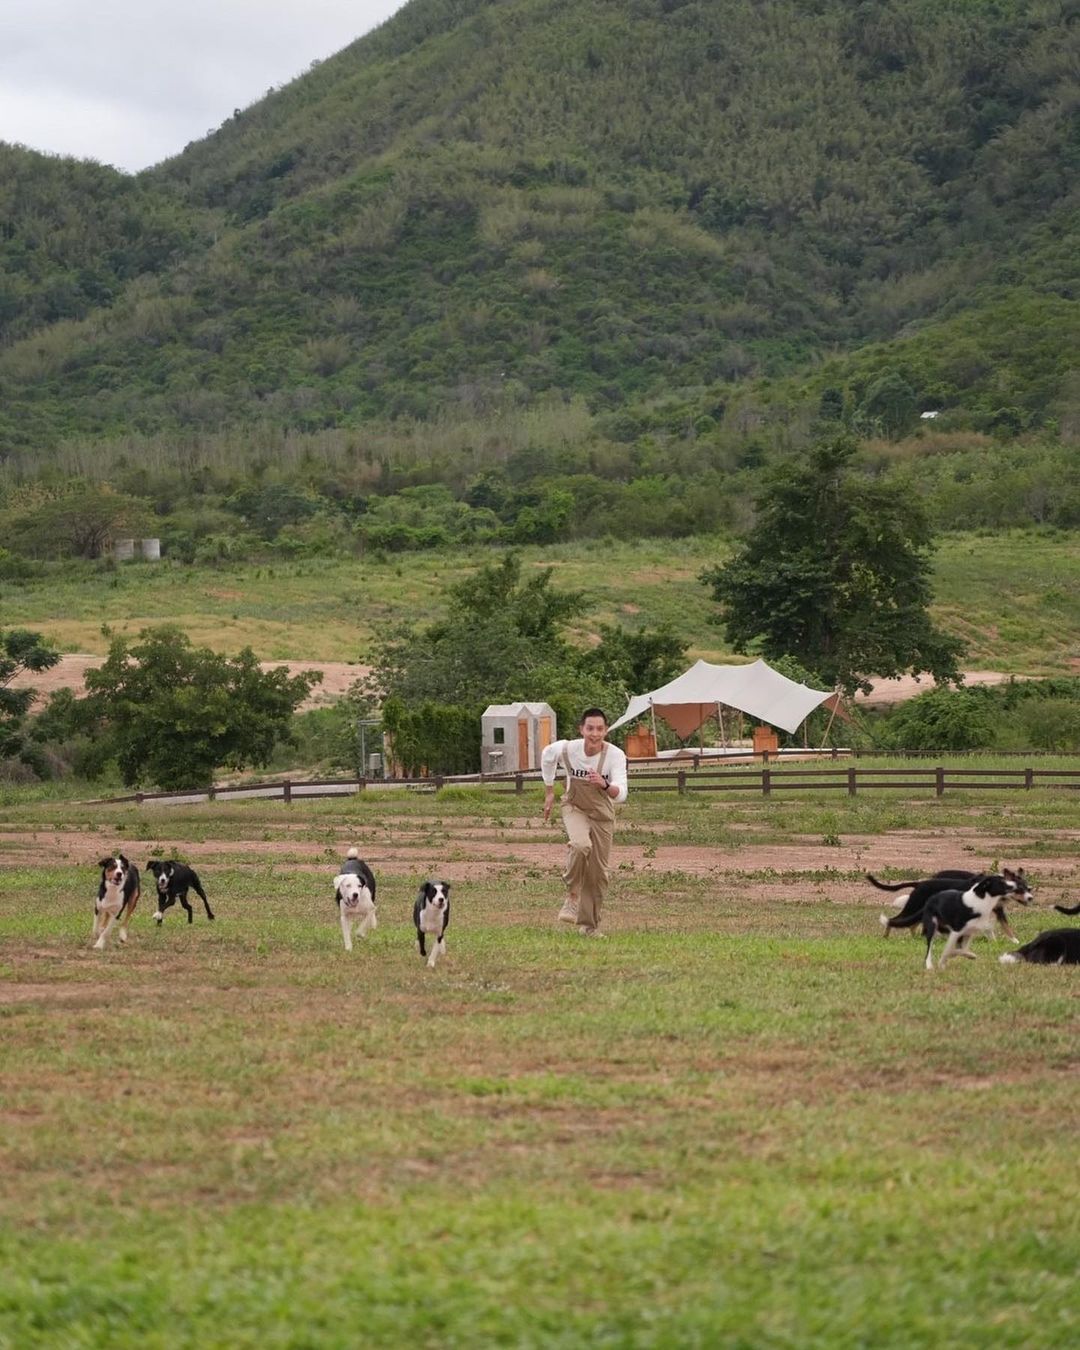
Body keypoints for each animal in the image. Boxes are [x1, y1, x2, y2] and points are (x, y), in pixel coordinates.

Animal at [869, 869, 1031, 945]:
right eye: (1018, 889)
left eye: (1027, 888)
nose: (1031, 898)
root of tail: (919, 883)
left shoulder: (997, 911)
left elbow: (1006, 927)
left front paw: (1014, 941)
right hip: (913, 906)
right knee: (894, 920)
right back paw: (886, 936)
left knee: (912, 924)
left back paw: (916, 937)